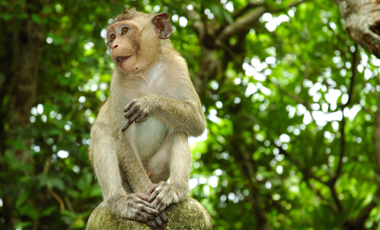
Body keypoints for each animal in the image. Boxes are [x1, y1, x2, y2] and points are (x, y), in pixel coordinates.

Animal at [88, 8, 205, 229]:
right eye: (112, 36)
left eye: (125, 31)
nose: (114, 45)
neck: (146, 72)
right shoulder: (117, 81)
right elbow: (122, 139)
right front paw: (146, 199)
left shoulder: (179, 66)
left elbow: (196, 121)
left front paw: (148, 104)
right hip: (129, 180)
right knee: (101, 131)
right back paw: (120, 201)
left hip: (157, 169)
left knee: (179, 128)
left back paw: (174, 189)